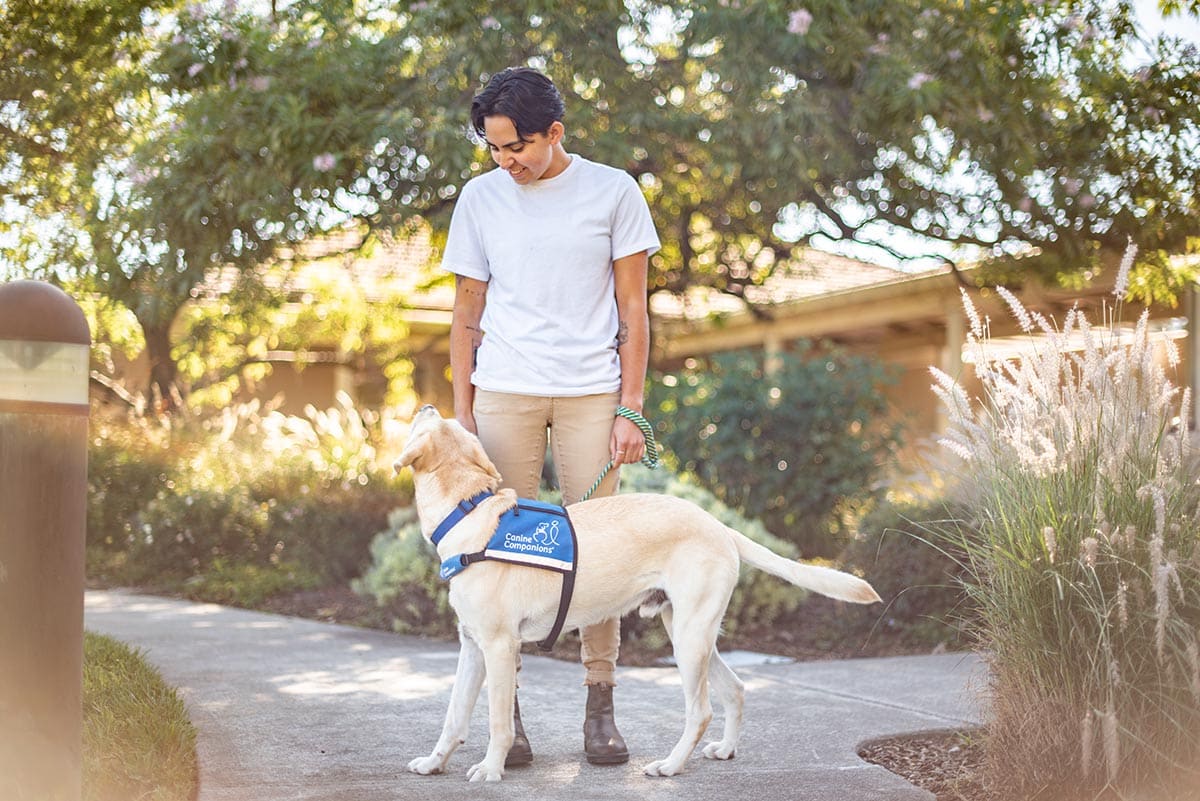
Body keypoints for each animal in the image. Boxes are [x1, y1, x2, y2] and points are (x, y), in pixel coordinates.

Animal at [398, 402, 878, 777]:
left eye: (431, 421)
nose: (427, 404)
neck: (467, 512)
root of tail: (717, 523)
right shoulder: (472, 646)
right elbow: (453, 716)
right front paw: (435, 763)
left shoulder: (499, 647)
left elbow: (498, 722)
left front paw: (492, 769)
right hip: (688, 630)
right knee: (736, 689)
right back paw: (725, 749)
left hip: (688, 638)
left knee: (701, 710)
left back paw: (670, 765)